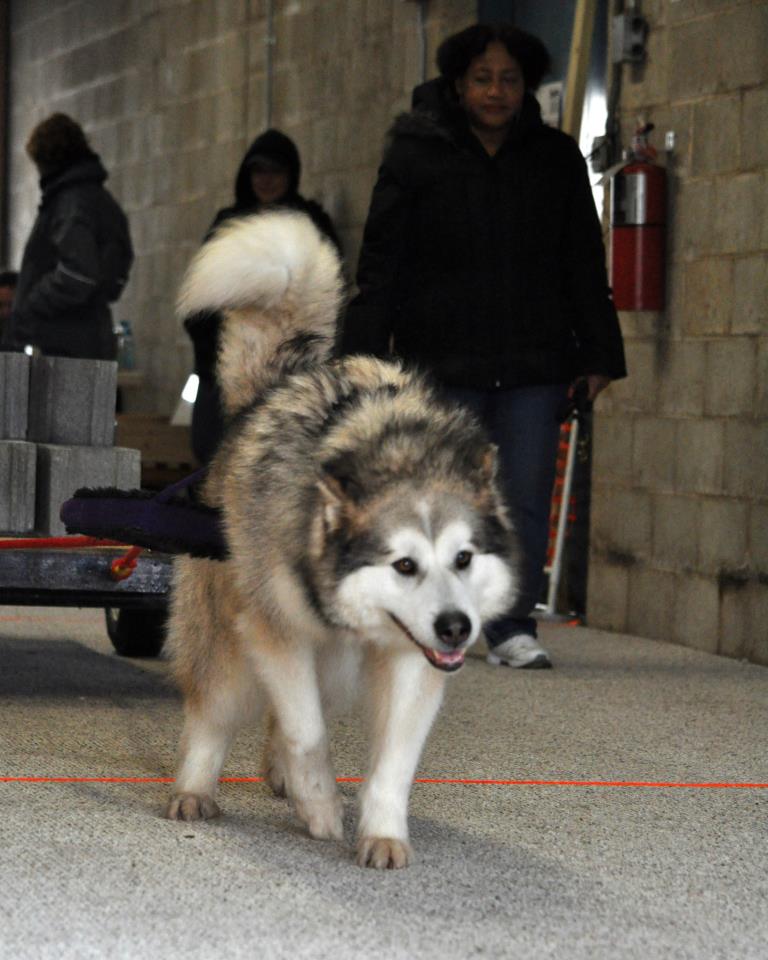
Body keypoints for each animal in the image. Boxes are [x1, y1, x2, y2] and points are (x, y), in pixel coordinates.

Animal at [166, 210, 520, 872]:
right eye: (403, 564)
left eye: (463, 558)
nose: (456, 628)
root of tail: (277, 387)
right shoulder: (274, 631)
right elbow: (307, 734)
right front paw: (323, 804)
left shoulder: (410, 661)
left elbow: (393, 762)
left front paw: (381, 831)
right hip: (227, 639)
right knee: (215, 712)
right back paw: (197, 789)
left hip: (329, 664)